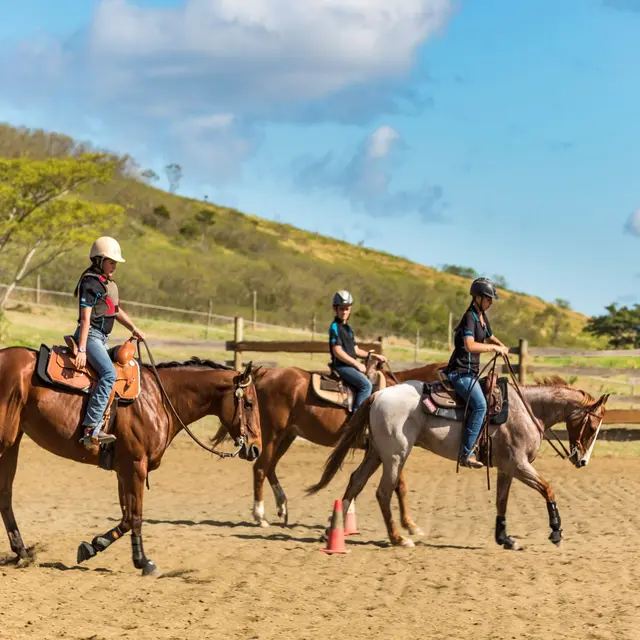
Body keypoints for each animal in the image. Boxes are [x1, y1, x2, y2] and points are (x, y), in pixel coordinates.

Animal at [0, 350, 262, 576]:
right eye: (249, 403)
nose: (255, 448)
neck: (160, 400)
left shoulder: (123, 470)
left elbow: (126, 517)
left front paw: (93, 547)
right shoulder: (136, 466)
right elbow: (135, 516)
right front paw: (144, 562)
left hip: (12, 442)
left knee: (6, 495)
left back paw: (22, 552)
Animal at [211, 360, 444, 528]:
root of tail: (266, 374)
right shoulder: (391, 450)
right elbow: (398, 485)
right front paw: (409, 525)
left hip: (287, 436)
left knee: (270, 468)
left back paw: (282, 508)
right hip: (272, 435)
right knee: (260, 468)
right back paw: (260, 516)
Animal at [310, 380, 608, 552]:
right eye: (593, 426)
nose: (582, 461)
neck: (527, 409)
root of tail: (379, 394)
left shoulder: (507, 469)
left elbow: (501, 501)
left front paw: (505, 538)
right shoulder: (519, 465)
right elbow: (548, 489)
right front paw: (556, 532)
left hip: (376, 454)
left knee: (355, 481)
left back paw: (333, 531)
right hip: (395, 455)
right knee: (383, 491)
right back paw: (399, 538)